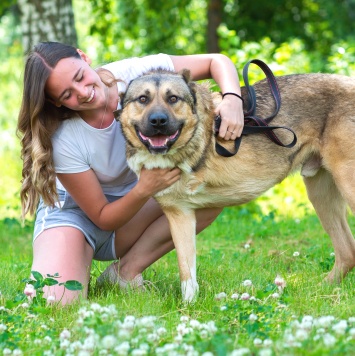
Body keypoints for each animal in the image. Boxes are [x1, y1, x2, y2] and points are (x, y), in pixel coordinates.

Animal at [117, 64, 355, 300]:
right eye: (142, 99)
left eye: (173, 98)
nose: (158, 121)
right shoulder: (179, 214)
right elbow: (187, 273)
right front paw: (189, 307)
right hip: (320, 195)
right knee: (347, 251)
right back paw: (321, 290)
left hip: (346, 186)